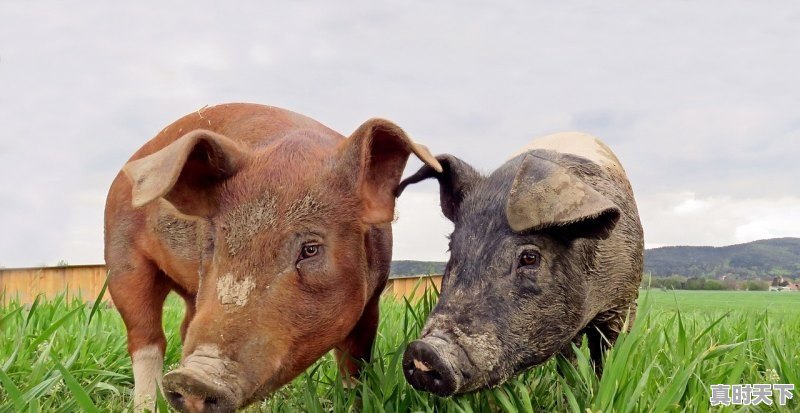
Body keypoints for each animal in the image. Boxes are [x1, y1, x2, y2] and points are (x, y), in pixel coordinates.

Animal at [102, 101, 440, 410]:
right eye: (213, 242)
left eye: (310, 248)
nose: (194, 378)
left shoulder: (372, 299)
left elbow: (355, 365)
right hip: (121, 261)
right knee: (146, 339)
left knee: (184, 328)